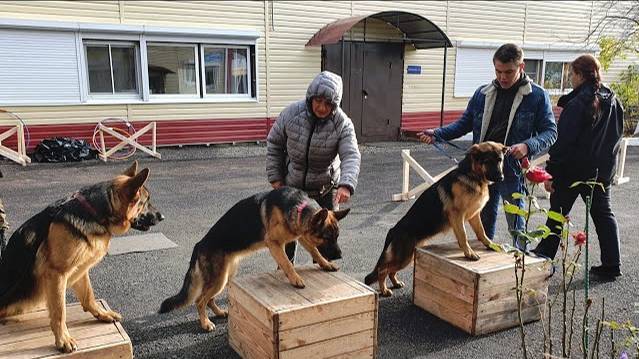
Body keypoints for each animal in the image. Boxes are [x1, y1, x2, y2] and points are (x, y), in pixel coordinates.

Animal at [0, 163, 164, 354]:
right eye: (146, 202)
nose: (162, 217)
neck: (95, 212)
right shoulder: (57, 274)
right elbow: (59, 311)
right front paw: (63, 339)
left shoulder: (80, 268)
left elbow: (88, 296)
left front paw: (102, 314)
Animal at [160, 187, 350, 334]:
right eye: (327, 237)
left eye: (337, 236)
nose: (340, 255)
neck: (298, 208)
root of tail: (199, 244)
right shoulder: (274, 243)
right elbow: (287, 263)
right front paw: (295, 279)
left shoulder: (301, 235)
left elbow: (315, 252)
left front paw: (326, 264)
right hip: (219, 279)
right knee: (200, 300)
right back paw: (206, 324)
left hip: (224, 277)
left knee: (209, 299)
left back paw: (219, 312)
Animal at [368, 142, 508, 296]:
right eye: (488, 161)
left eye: (500, 160)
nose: (501, 177)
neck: (472, 175)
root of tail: (393, 230)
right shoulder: (457, 215)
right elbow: (463, 236)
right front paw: (469, 253)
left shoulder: (474, 216)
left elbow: (481, 232)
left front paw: (490, 244)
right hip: (404, 257)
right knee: (382, 270)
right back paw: (384, 289)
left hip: (408, 257)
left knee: (390, 270)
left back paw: (396, 283)